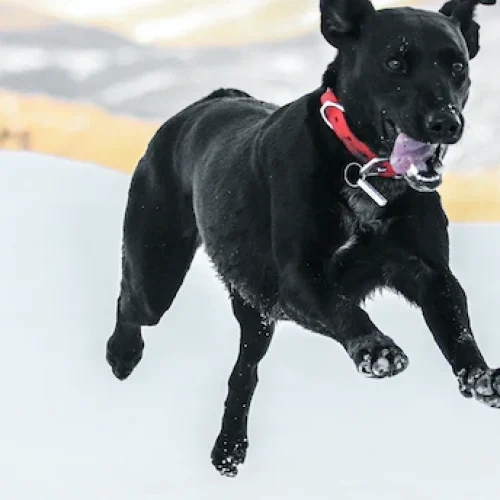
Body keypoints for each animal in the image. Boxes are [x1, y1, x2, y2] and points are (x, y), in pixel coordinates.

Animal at [107, 0, 498, 476]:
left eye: (457, 66)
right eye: (395, 62)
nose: (445, 122)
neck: (361, 172)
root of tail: (210, 101)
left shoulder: (430, 273)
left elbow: (457, 330)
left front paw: (481, 377)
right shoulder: (299, 279)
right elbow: (345, 308)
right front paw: (377, 350)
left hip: (255, 310)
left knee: (244, 373)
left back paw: (229, 447)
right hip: (157, 269)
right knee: (130, 304)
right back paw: (122, 354)